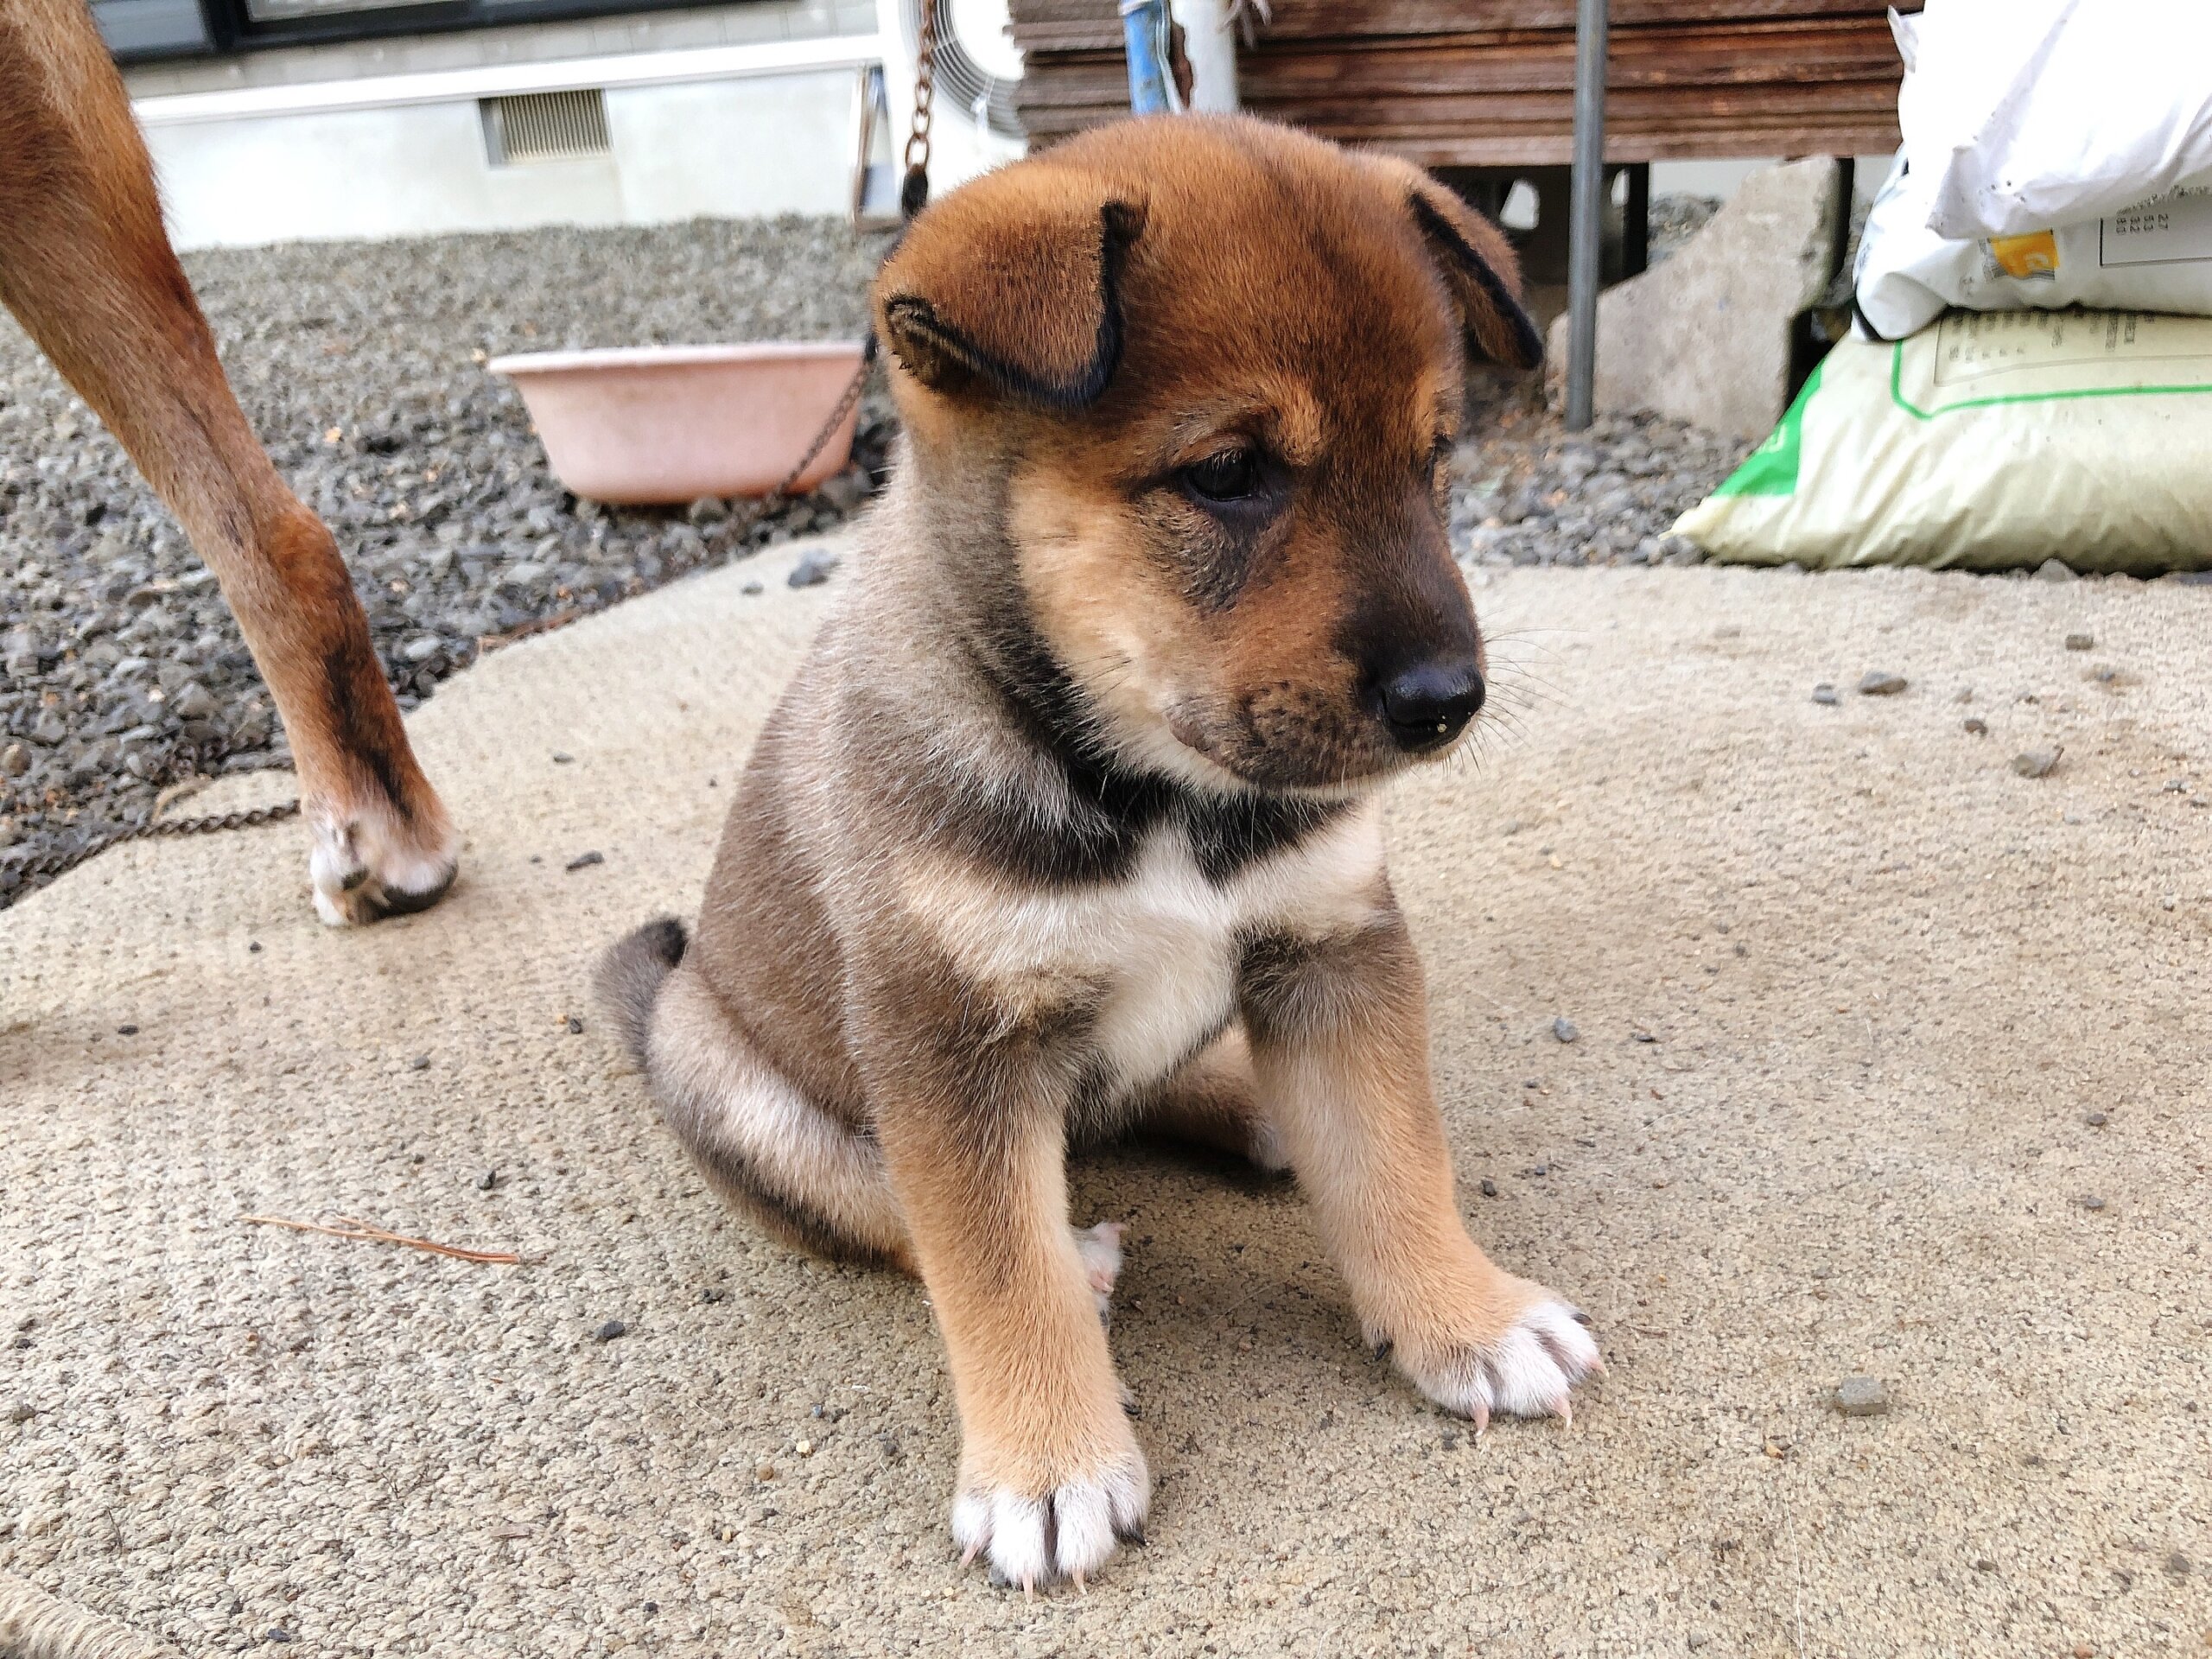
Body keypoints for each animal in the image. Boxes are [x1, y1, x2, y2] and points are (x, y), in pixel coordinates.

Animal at [599, 114, 1600, 1592]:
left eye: (1434, 457)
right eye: (1228, 473)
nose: (1447, 701)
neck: (1150, 793)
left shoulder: (1332, 946)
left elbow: (1390, 1153)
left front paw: (1465, 1315)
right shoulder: (946, 1039)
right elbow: (988, 1264)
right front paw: (1047, 1463)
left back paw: (1252, 1107)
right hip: (727, 1077)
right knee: (899, 1205)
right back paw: (1081, 1251)